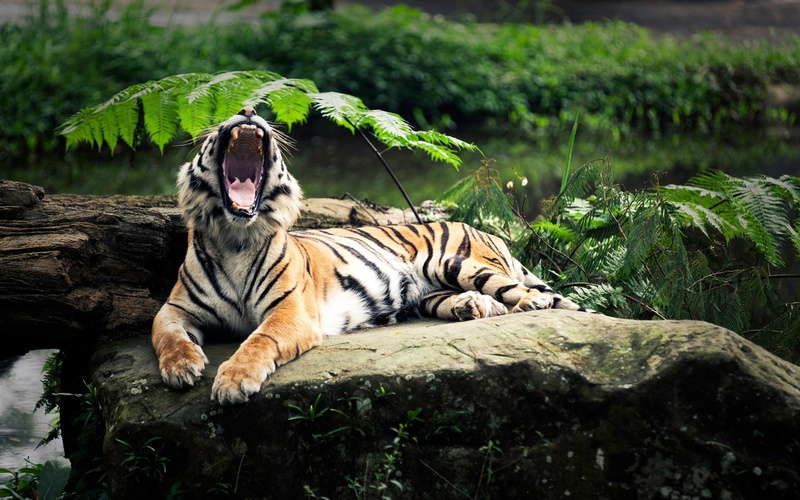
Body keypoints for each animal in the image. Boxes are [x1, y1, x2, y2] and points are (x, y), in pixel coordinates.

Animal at [152, 107, 590, 405]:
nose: (248, 110)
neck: (236, 236)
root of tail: (486, 230)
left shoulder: (290, 311)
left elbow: (260, 340)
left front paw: (232, 381)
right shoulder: (177, 307)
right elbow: (164, 333)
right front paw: (181, 366)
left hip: (453, 262)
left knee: (524, 292)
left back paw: (529, 302)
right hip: (431, 292)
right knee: (487, 301)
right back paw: (473, 307)